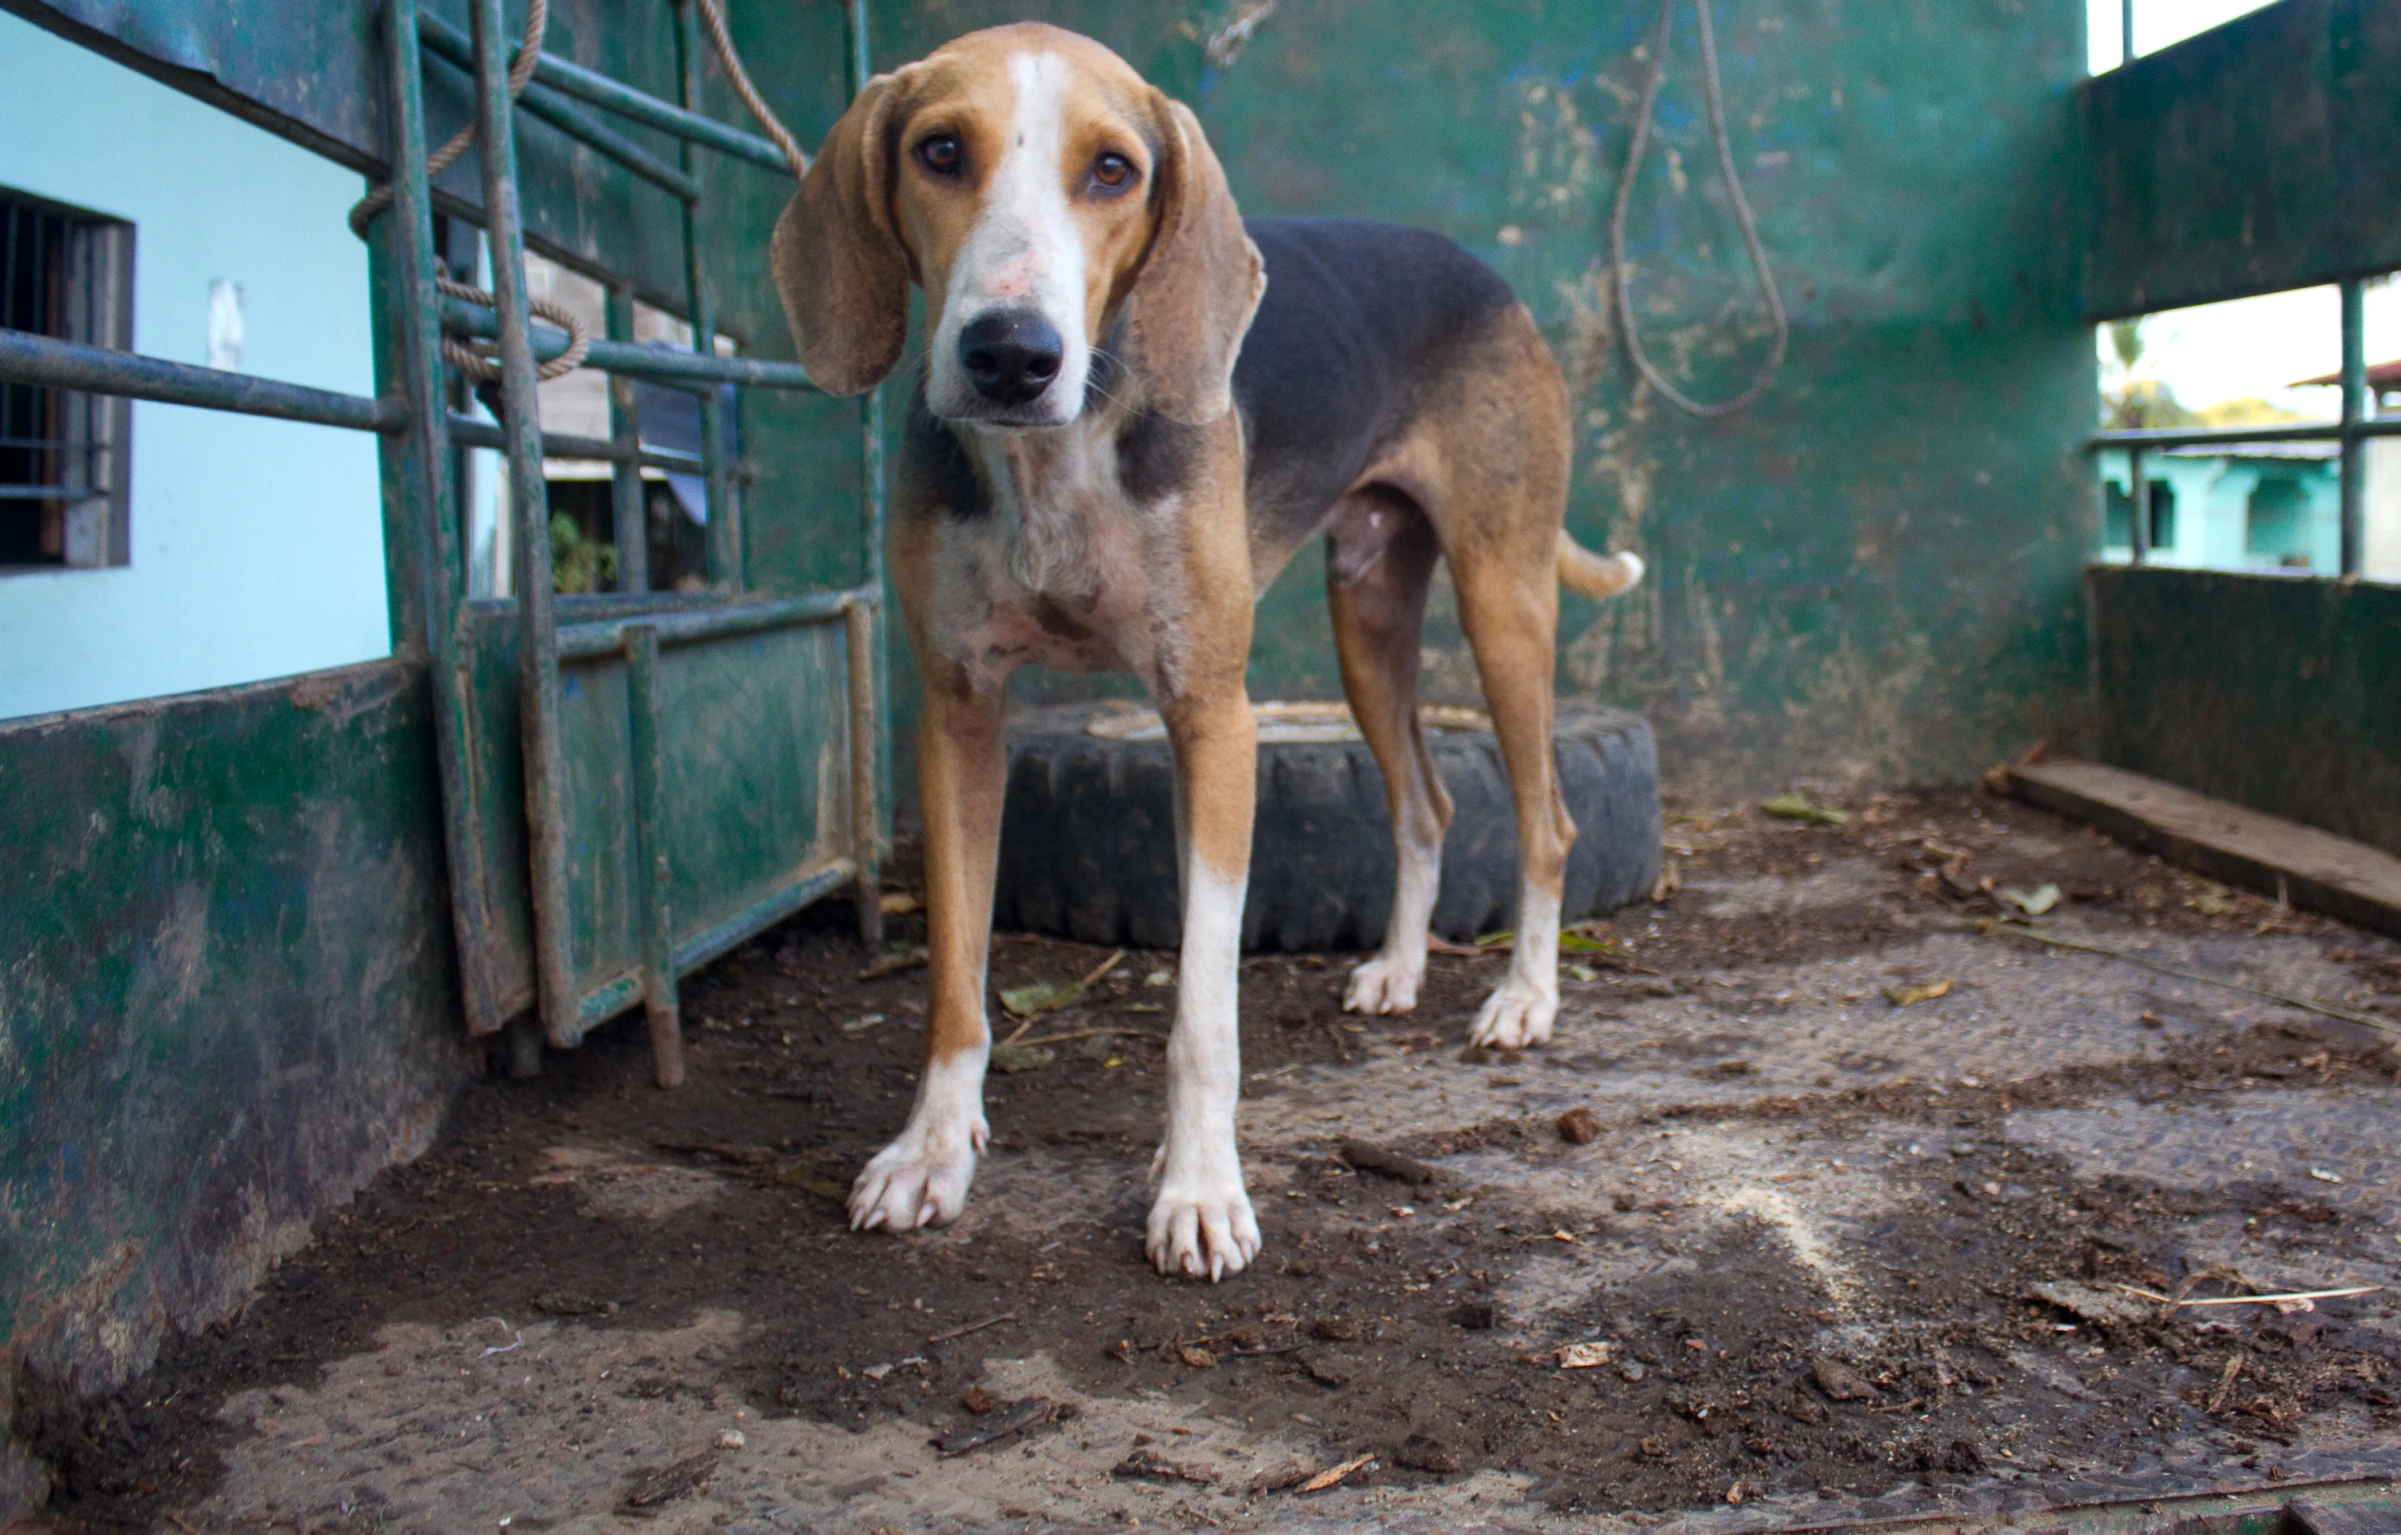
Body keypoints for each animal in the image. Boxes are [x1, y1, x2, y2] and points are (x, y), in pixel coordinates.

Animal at [777, 24, 1642, 1287]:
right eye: (938, 150)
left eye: (1112, 170)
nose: (1011, 355)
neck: (1056, 458)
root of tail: (1477, 267)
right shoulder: (958, 712)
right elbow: (953, 981)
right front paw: (931, 1148)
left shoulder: (1213, 716)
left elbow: (1201, 1011)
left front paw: (1196, 1190)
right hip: (1365, 614)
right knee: (1425, 801)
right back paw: (1399, 969)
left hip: (1502, 600)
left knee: (1550, 818)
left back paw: (1524, 996)